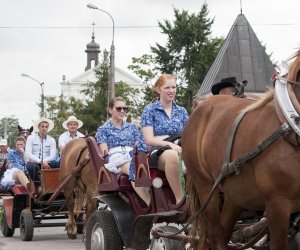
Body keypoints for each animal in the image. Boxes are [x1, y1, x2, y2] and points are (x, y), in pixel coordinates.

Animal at [182, 49, 300, 249]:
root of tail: (197, 111)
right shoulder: (278, 205)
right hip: (205, 186)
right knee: (215, 234)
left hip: (235, 192)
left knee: (224, 231)